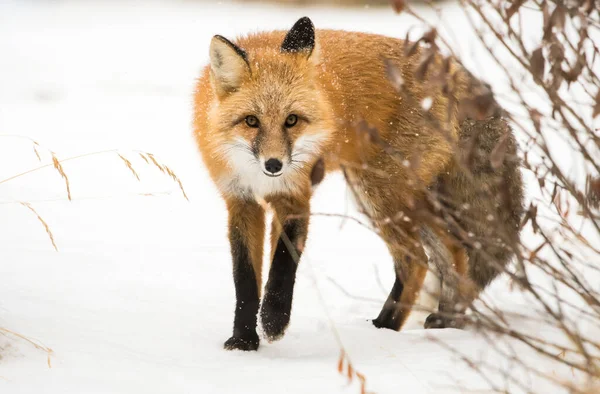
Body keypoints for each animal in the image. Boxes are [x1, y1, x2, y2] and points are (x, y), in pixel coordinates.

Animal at [193, 16, 524, 352]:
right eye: (251, 121)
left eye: (292, 120)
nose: (274, 165)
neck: (255, 175)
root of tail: (450, 67)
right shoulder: (240, 200)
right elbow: (245, 278)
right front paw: (243, 340)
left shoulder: (295, 195)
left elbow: (284, 265)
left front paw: (273, 322)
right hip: (397, 196)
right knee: (454, 251)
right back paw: (446, 321)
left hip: (378, 192)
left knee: (416, 260)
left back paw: (385, 327)